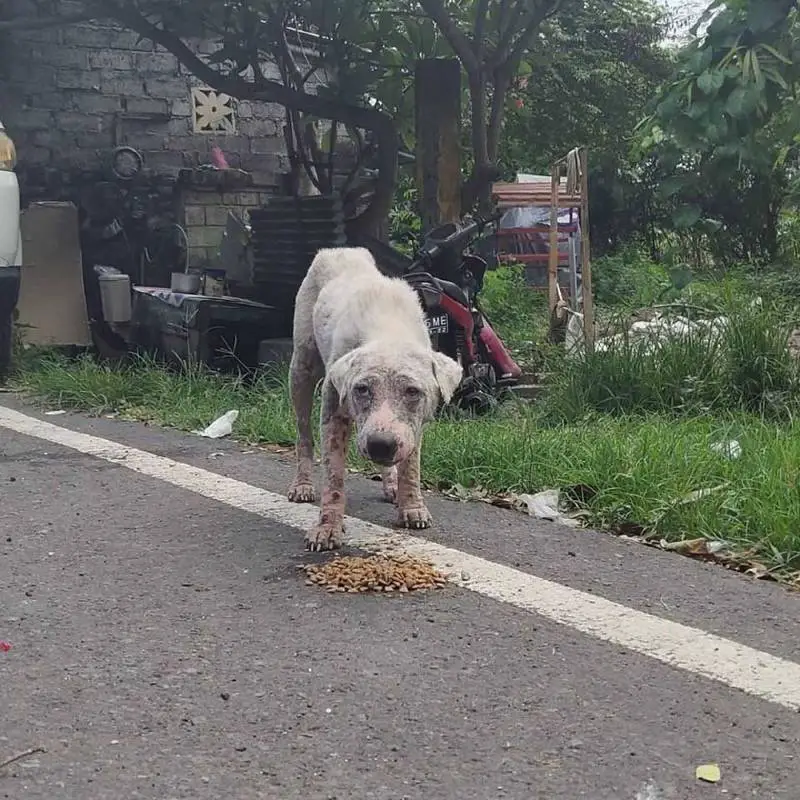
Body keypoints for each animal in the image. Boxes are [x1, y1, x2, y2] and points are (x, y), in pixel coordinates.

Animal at [288, 247, 462, 552]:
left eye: (412, 391)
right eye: (362, 389)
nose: (381, 445)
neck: (388, 329)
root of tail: (337, 250)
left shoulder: (413, 426)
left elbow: (411, 467)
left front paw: (411, 506)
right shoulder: (334, 413)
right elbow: (334, 475)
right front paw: (327, 527)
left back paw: (391, 484)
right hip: (302, 369)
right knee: (303, 433)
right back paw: (303, 484)